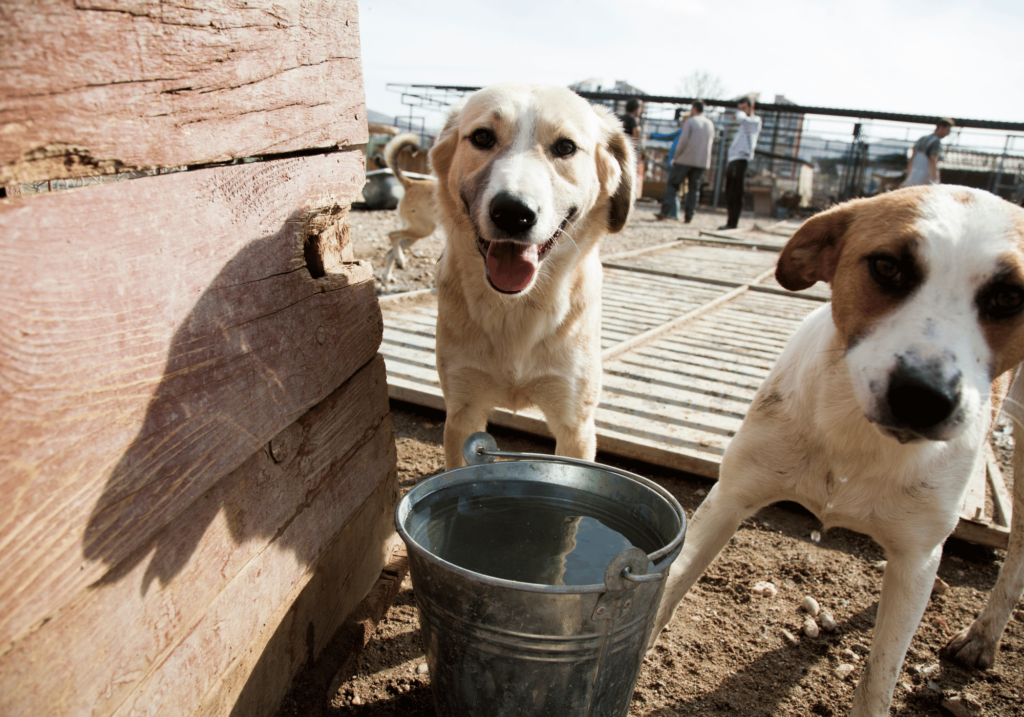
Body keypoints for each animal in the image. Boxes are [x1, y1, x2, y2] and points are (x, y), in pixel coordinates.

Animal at [428, 82, 634, 471]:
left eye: (565, 147)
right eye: (482, 137)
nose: (512, 212)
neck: (516, 310)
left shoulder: (575, 426)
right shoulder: (462, 412)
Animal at [651, 186, 1024, 717]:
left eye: (1011, 297)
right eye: (887, 267)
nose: (922, 396)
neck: (857, 437)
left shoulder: (917, 557)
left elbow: (879, 677)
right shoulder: (730, 497)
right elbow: (668, 589)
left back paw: (983, 637)